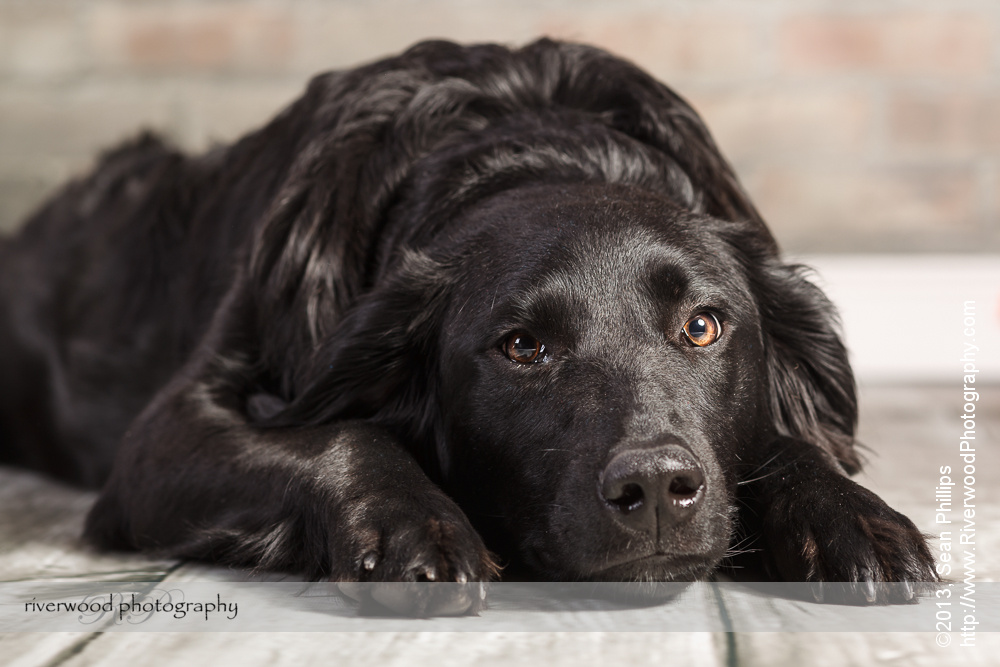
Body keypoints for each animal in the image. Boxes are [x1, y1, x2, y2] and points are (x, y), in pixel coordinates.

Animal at [0, 39, 936, 616]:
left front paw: (853, 516)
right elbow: (338, 433)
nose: (656, 487)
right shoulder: (164, 434)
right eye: (523, 347)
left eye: (703, 327)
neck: (520, 145)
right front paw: (416, 524)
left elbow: (790, 440)